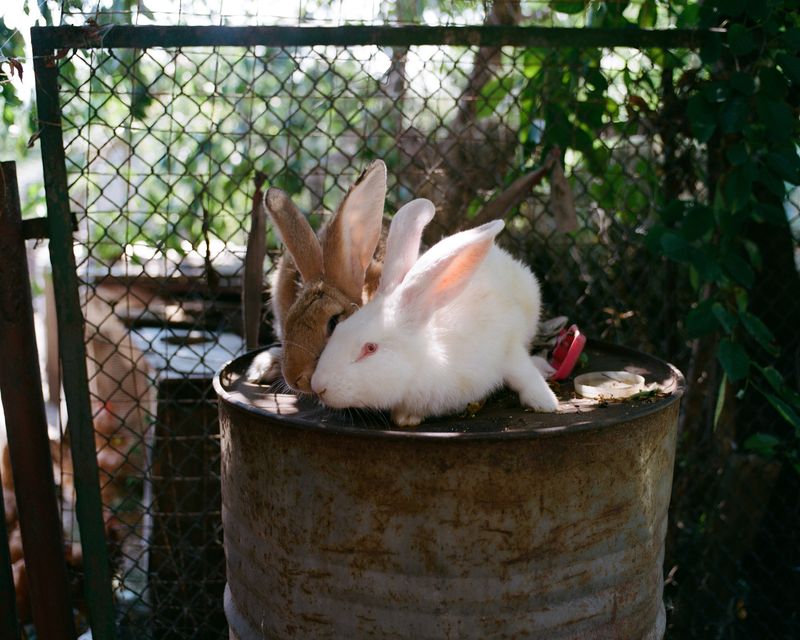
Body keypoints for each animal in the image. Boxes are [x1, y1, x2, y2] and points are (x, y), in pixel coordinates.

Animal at [310, 208, 559, 427]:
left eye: (370, 348)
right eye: (338, 329)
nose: (318, 387)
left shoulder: (507, 345)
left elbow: (521, 372)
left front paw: (545, 402)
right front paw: (406, 418)